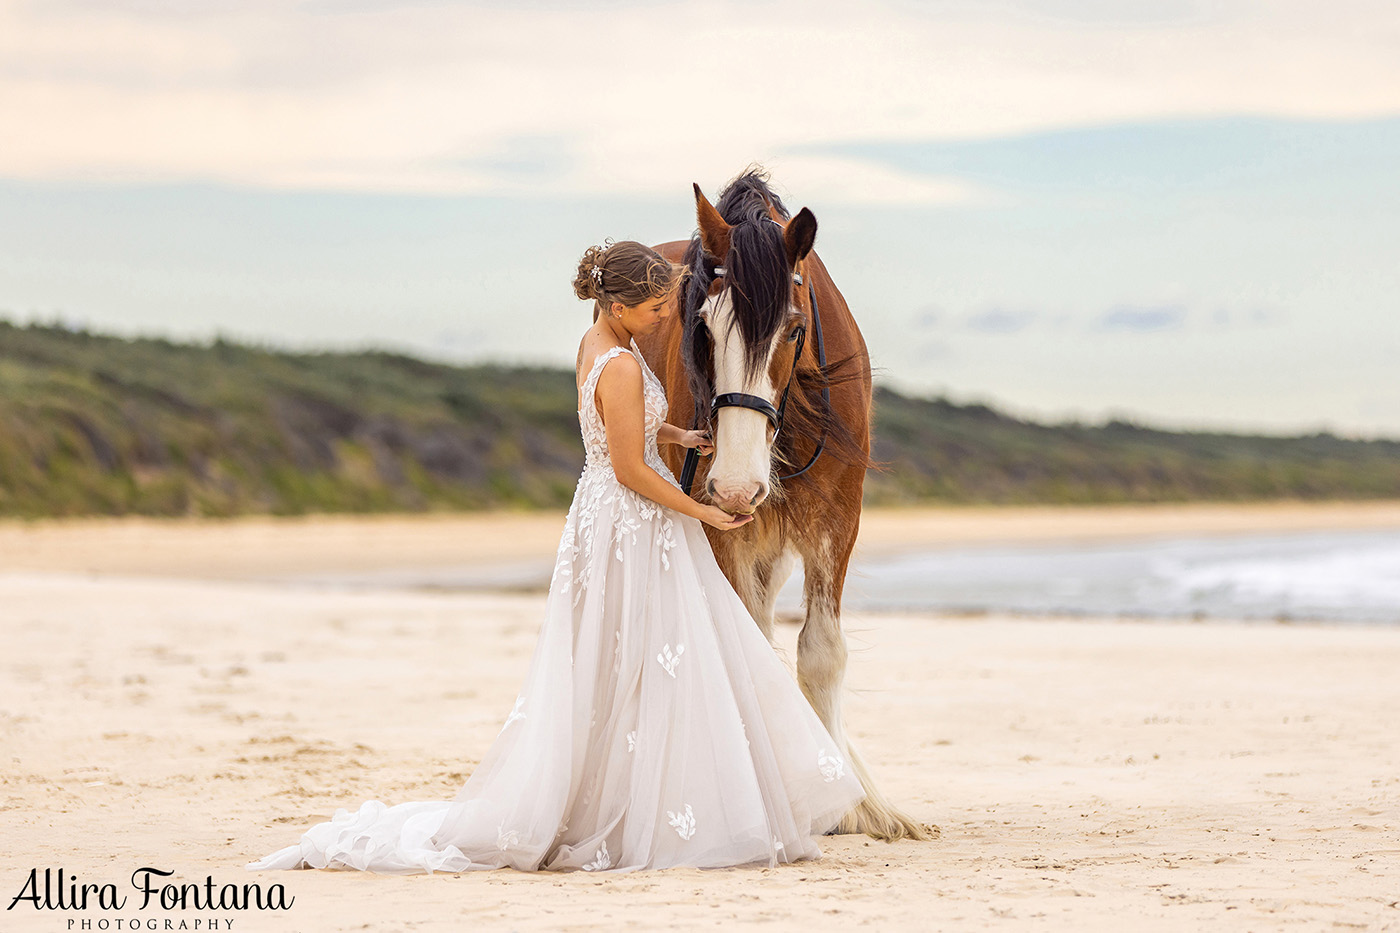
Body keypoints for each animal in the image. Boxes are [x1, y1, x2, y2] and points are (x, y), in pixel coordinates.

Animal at [632, 167, 929, 840]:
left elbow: (822, 652)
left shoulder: (837, 521)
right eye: (703, 329)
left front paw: (845, 799)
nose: (737, 486)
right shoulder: (718, 523)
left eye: (794, 330)